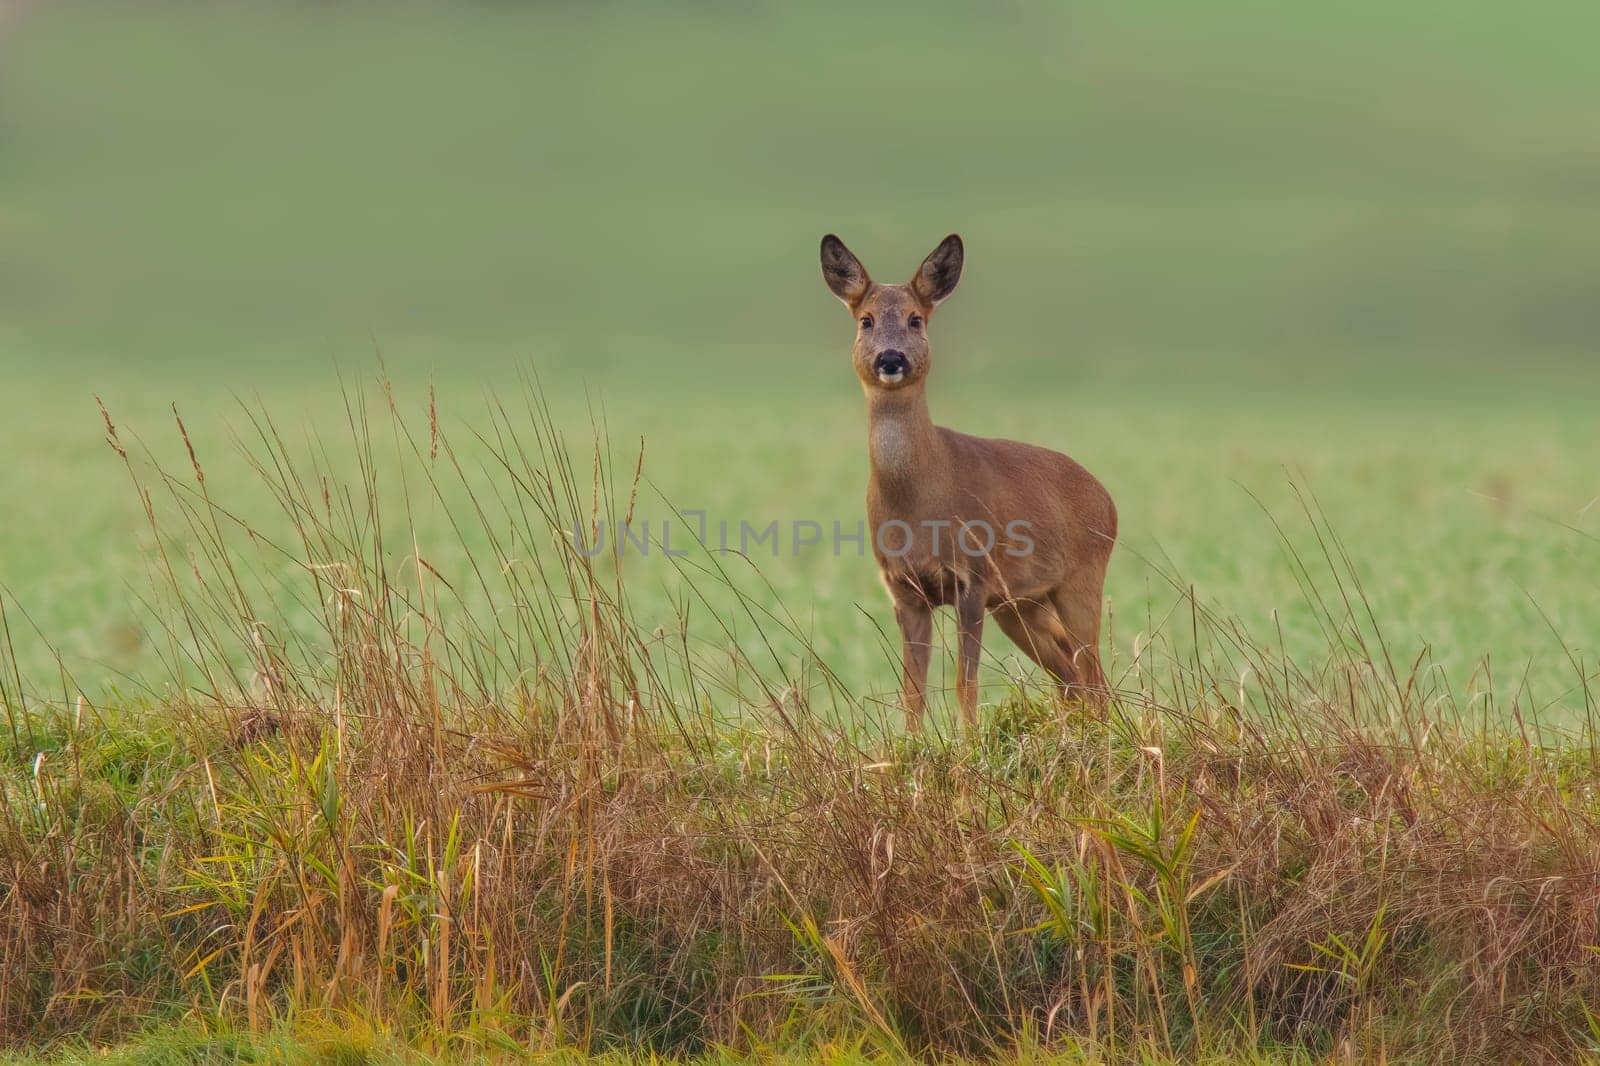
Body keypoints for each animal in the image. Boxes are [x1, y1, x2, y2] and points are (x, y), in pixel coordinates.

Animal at [825, 232, 1113, 729]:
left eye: (915, 319)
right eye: (865, 320)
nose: (891, 358)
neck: (920, 502)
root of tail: (1109, 500)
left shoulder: (973, 578)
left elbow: (965, 682)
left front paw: (970, 739)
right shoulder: (905, 591)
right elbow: (913, 690)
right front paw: (914, 741)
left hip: (1081, 580)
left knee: (1092, 674)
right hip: (1022, 605)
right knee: (1070, 675)